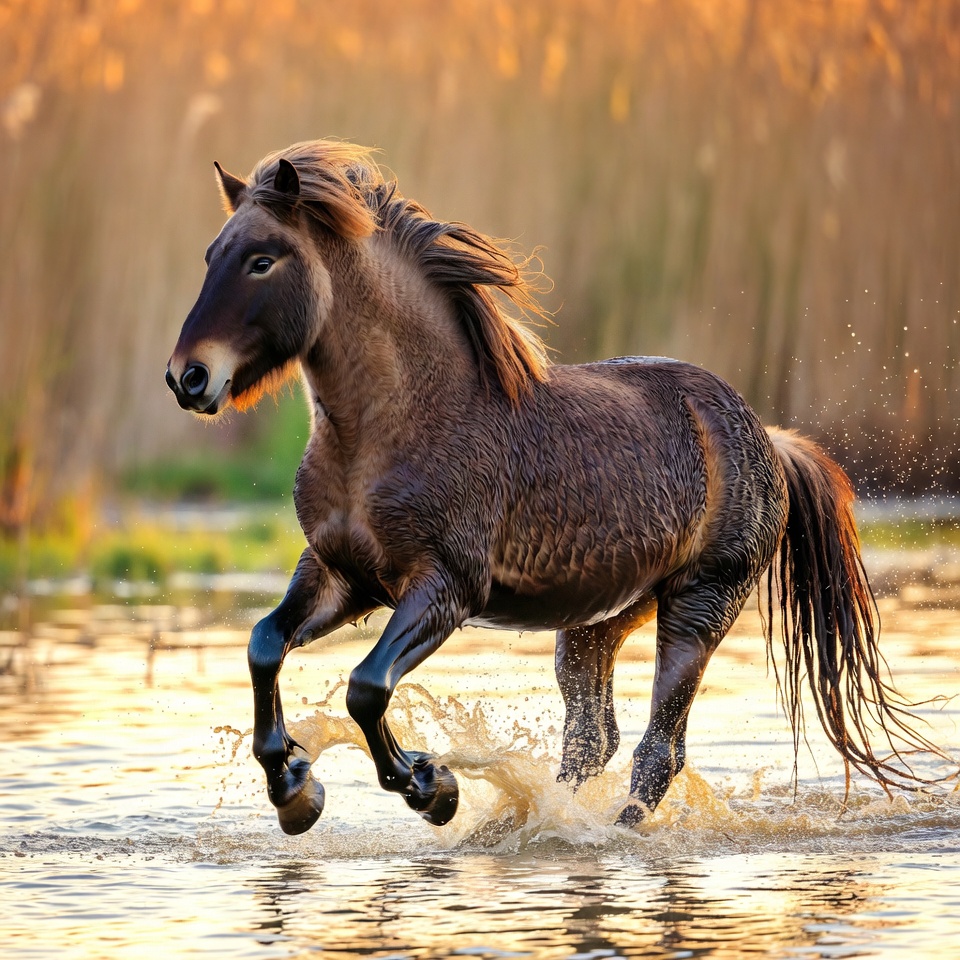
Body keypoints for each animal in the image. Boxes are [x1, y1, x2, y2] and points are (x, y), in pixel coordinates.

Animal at [166, 139, 943, 835]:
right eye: (209, 256)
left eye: (262, 259)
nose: (188, 378)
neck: (398, 423)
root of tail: (769, 439)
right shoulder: (342, 575)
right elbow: (264, 644)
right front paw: (294, 786)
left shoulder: (444, 588)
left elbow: (367, 687)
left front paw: (430, 786)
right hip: (598, 623)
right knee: (592, 739)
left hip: (699, 607)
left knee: (657, 751)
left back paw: (608, 833)